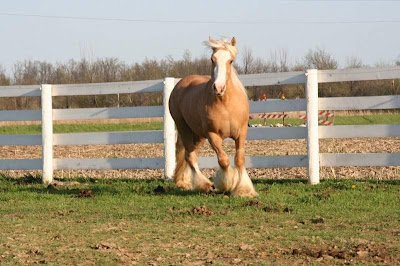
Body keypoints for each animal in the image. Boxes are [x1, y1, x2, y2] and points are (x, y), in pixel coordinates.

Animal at [168, 36, 256, 196]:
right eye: (212, 59)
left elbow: (239, 159)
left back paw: (185, 181)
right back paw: (204, 184)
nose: (218, 87)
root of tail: (180, 84)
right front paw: (226, 184)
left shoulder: (241, 133)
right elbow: (223, 160)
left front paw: (243, 190)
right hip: (184, 128)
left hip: (197, 135)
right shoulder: (212, 135)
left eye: (230, 60)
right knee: (190, 156)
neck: (226, 104)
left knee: (189, 154)